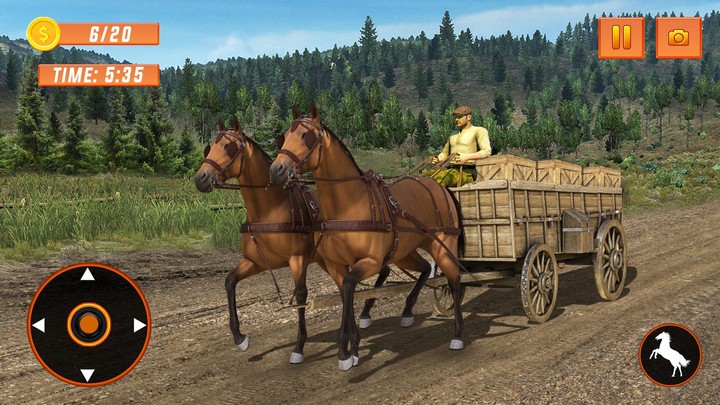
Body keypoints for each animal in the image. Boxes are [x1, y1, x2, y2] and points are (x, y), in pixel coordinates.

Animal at [195, 117, 391, 364]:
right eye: (210, 147)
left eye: (229, 147)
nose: (200, 178)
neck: (270, 209)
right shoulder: (256, 262)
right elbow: (229, 282)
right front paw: (240, 338)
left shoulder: (297, 258)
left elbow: (301, 295)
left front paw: (299, 347)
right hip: (326, 260)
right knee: (352, 282)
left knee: (381, 270)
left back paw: (364, 316)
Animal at [269, 105, 464, 371]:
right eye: (283, 137)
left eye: (306, 136)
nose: (276, 170)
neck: (349, 206)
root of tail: (439, 186)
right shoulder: (336, 265)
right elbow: (346, 293)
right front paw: (352, 348)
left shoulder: (370, 262)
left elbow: (350, 286)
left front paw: (345, 351)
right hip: (405, 252)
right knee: (426, 268)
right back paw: (407, 311)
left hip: (443, 245)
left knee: (453, 280)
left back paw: (457, 335)